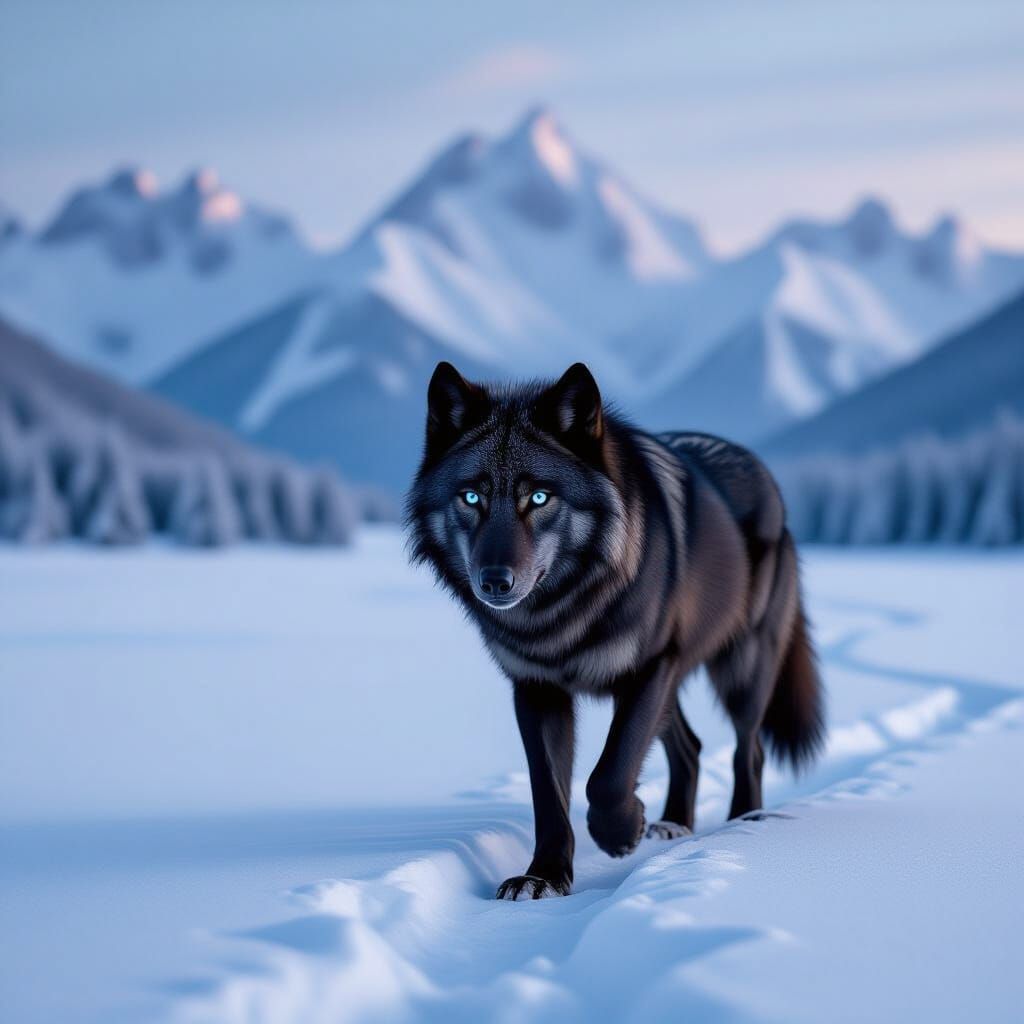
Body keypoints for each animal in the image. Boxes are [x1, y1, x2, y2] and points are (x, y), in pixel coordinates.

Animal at [406, 361, 824, 900]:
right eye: (471, 496)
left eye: (538, 497)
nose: (494, 580)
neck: (561, 613)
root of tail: (762, 470)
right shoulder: (537, 690)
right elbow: (549, 794)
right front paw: (543, 876)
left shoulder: (651, 667)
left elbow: (607, 775)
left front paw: (620, 833)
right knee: (691, 749)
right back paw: (674, 825)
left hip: (741, 670)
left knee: (748, 750)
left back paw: (743, 824)